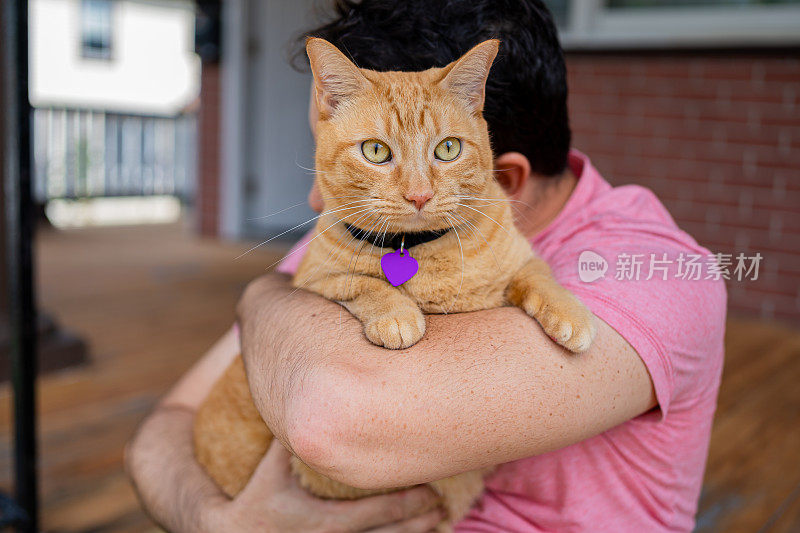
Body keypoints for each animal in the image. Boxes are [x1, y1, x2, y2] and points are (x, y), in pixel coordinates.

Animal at [194, 36, 592, 528]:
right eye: (376, 152)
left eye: (448, 149)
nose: (419, 195)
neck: (417, 249)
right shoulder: (313, 282)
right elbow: (360, 282)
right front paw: (398, 315)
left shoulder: (522, 259)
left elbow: (539, 276)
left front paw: (572, 315)